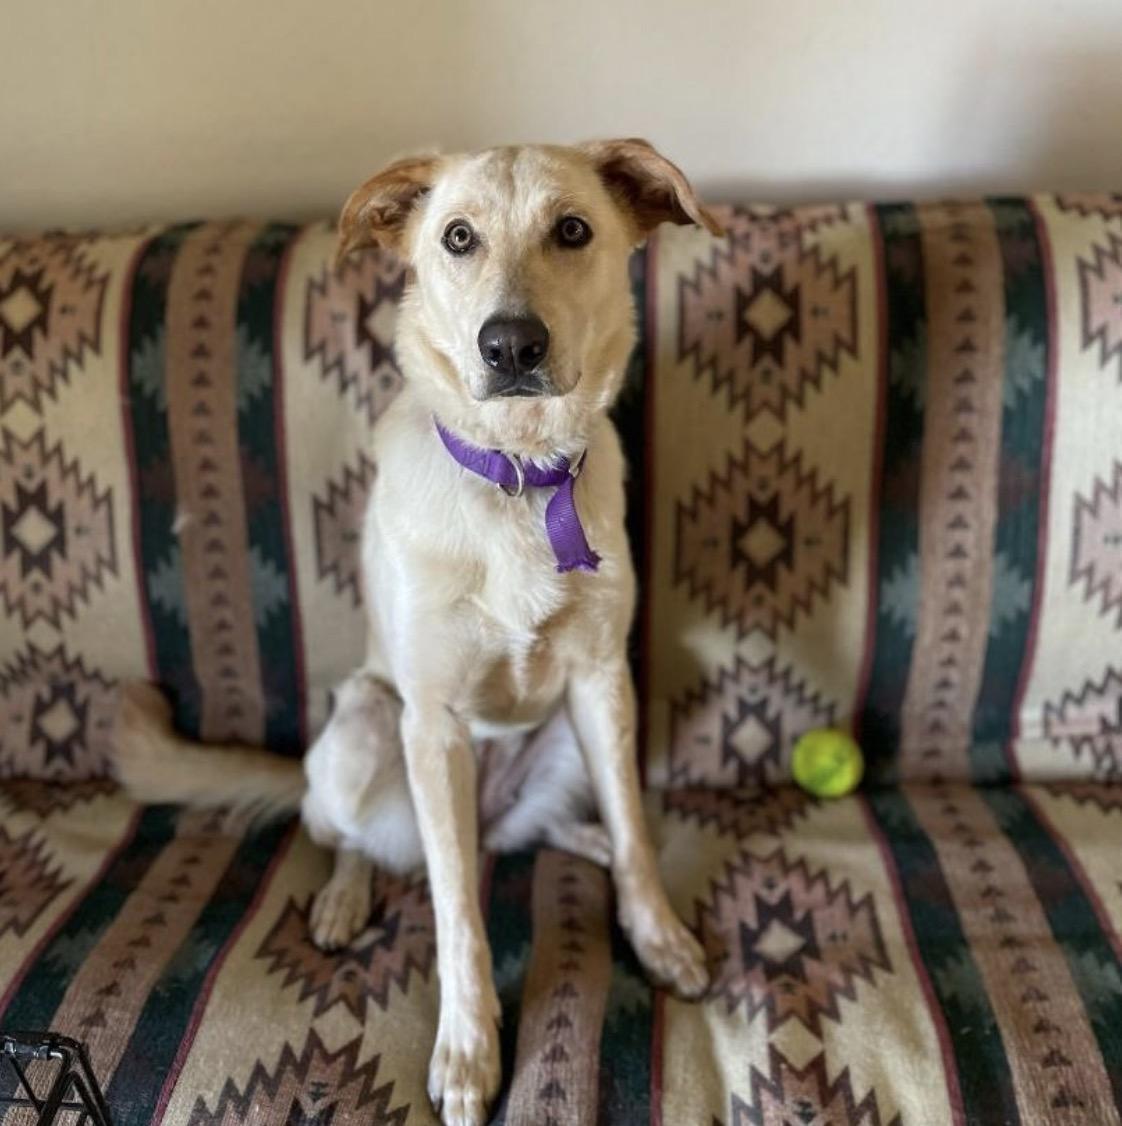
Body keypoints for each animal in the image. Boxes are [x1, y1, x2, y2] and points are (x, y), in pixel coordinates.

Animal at [118, 140, 720, 1126]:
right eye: (458, 237)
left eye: (573, 230)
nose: (510, 345)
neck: (517, 470)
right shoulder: (430, 724)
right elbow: (456, 917)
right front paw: (469, 1047)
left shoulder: (602, 682)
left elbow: (633, 826)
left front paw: (655, 931)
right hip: (365, 724)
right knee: (353, 836)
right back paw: (341, 899)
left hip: (561, 739)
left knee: (525, 832)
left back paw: (578, 840)